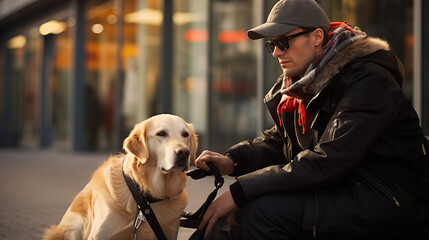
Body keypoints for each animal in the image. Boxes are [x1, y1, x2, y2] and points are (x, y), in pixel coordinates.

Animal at [43, 114, 197, 240]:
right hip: (73, 226)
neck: (148, 195)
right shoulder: (100, 235)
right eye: (161, 133)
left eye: (185, 134)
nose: (184, 152)